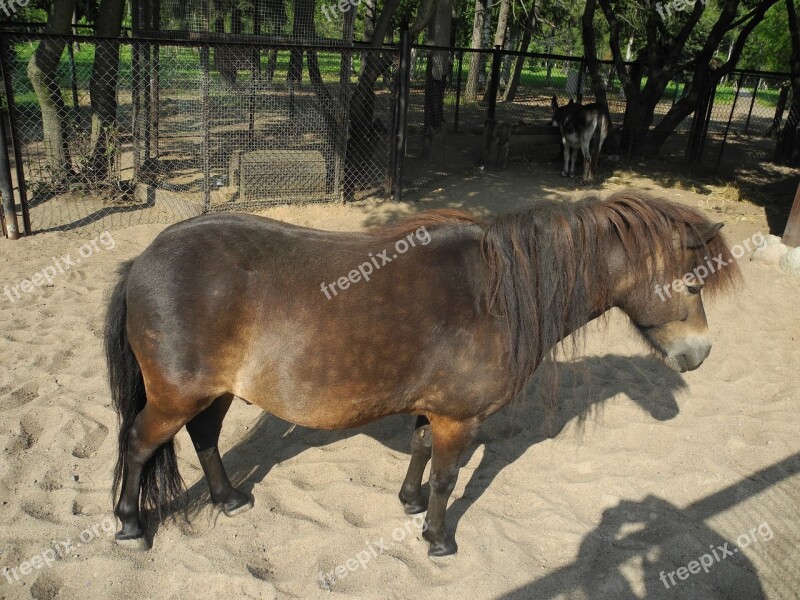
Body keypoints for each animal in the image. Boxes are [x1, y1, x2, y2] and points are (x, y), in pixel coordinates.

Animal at [104, 190, 736, 556]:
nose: (700, 354)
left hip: (213, 393)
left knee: (205, 439)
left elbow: (420, 449)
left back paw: (229, 498)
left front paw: (407, 502)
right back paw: (131, 525)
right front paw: (438, 538)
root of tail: (145, 258)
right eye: (693, 282)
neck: (498, 294)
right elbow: (447, 478)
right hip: (176, 396)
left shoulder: (436, 407)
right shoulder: (461, 418)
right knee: (138, 444)